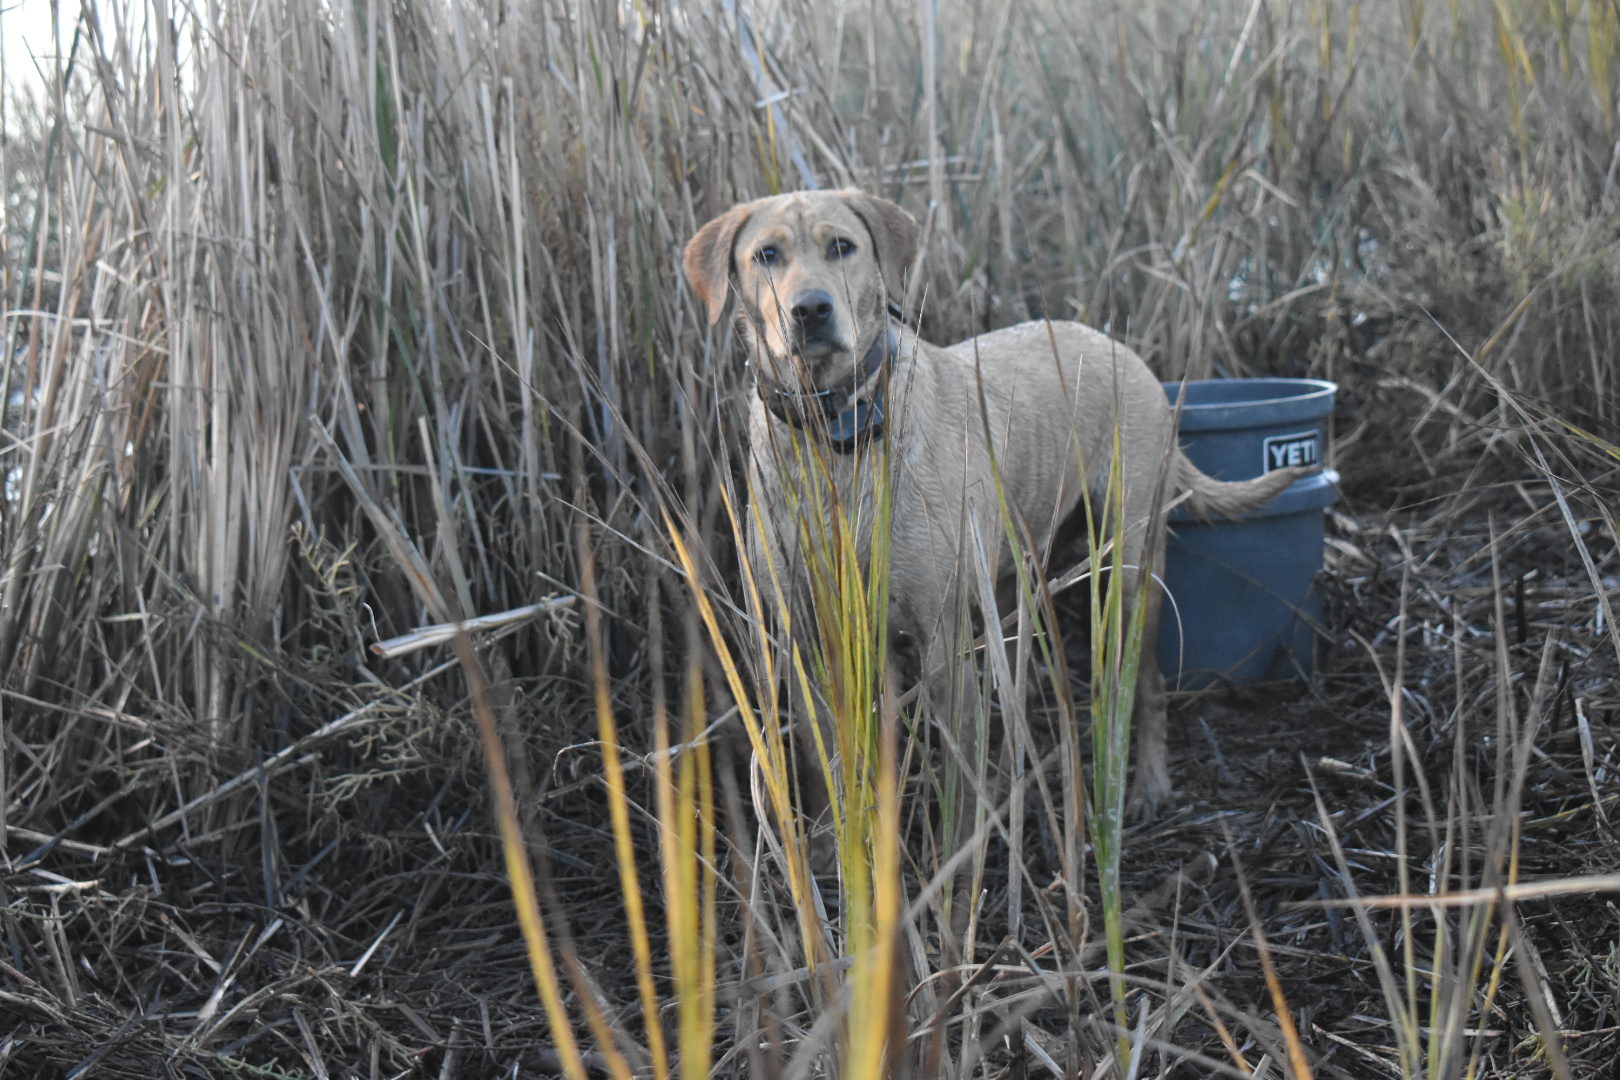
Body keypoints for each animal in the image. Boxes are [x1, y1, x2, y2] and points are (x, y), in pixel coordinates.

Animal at [680, 191, 1302, 819]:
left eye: (841, 246)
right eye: (766, 254)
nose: (811, 309)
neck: (836, 434)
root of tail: (1121, 348)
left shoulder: (941, 640)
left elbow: (960, 787)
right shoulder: (810, 643)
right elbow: (830, 773)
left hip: (1130, 573)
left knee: (1143, 685)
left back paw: (1147, 785)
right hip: (1008, 582)